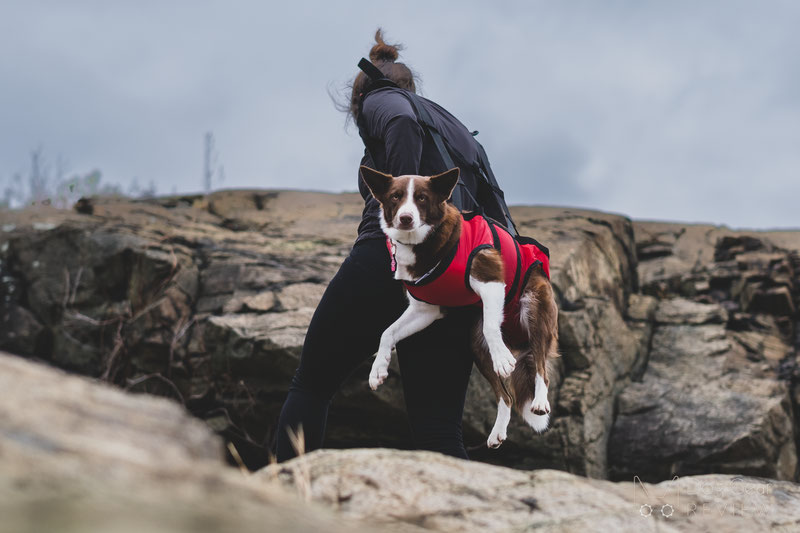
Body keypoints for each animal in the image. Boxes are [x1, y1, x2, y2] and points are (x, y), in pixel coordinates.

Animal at [364, 165, 564, 444]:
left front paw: (504, 359)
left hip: (535, 310)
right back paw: (498, 432)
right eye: (395, 197)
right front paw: (377, 369)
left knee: (540, 368)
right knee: (506, 396)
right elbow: (387, 332)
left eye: (422, 198)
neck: (426, 242)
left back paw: (539, 401)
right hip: (477, 346)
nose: (405, 218)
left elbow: (492, 327)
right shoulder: (426, 309)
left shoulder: (491, 282)